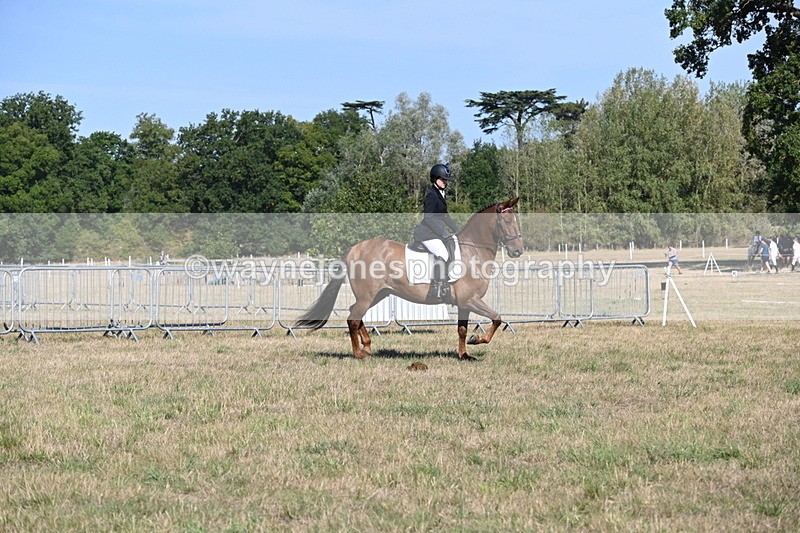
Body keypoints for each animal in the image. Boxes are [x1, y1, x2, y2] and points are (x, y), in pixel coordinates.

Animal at [295, 197, 523, 360]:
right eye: (506, 221)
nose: (518, 251)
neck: (472, 251)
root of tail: (355, 249)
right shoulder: (470, 300)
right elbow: (497, 317)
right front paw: (478, 340)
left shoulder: (464, 303)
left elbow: (462, 330)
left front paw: (465, 355)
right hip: (367, 296)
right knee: (352, 319)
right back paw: (359, 354)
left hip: (377, 294)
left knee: (355, 313)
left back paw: (367, 347)